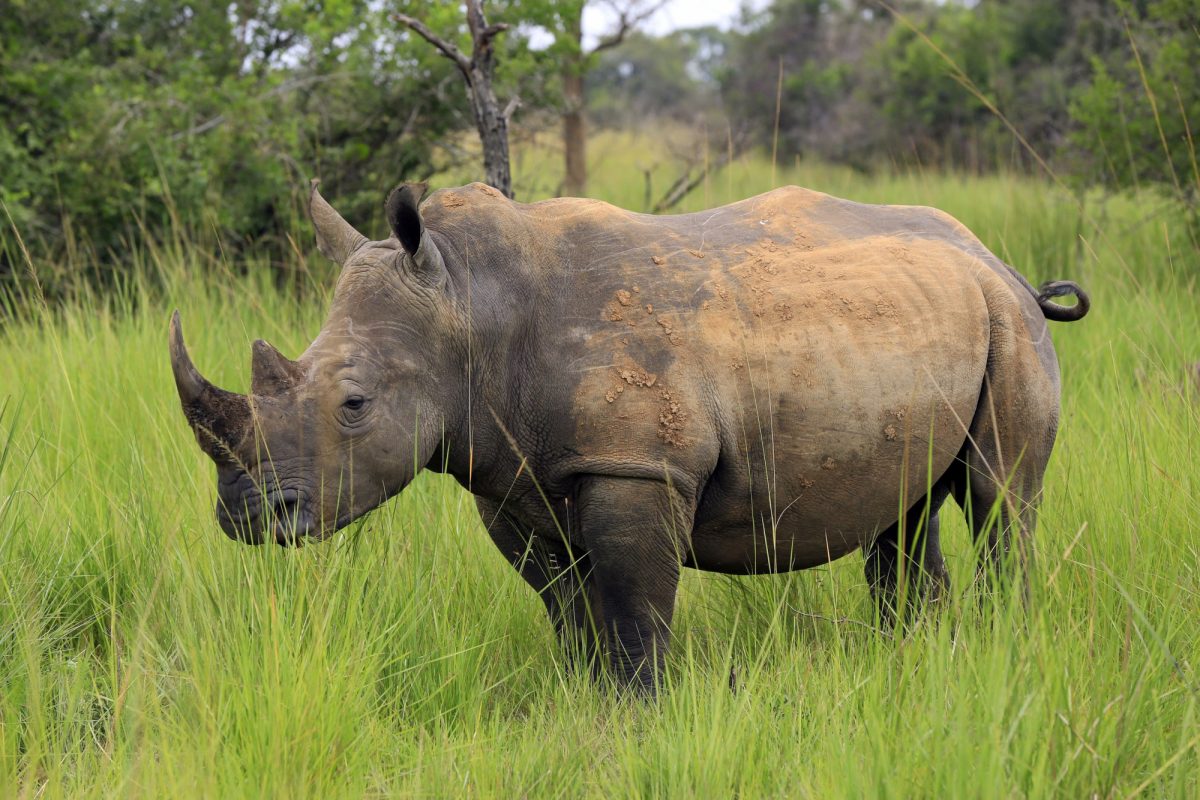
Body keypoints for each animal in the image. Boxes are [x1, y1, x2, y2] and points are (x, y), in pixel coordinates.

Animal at [169, 180, 1088, 693]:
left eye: (354, 404)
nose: (247, 516)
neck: (470, 304)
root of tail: (997, 259)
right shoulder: (510, 478)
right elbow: (568, 607)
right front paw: (586, 701)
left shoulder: (638, 467)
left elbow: (636, 608)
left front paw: (641, 712)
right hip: (914, 324)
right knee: (904, 510)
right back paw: (914, 652)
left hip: (1007, 321)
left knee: (1002, 496)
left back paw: (1001, 642)